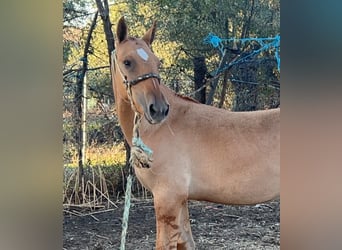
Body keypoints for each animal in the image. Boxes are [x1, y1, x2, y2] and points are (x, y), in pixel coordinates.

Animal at [111, 16, 280, 249]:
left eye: (157, 62)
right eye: (127, 62)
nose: (158, 109)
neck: (164, 127)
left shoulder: (167, 198)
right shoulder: (180, 201)